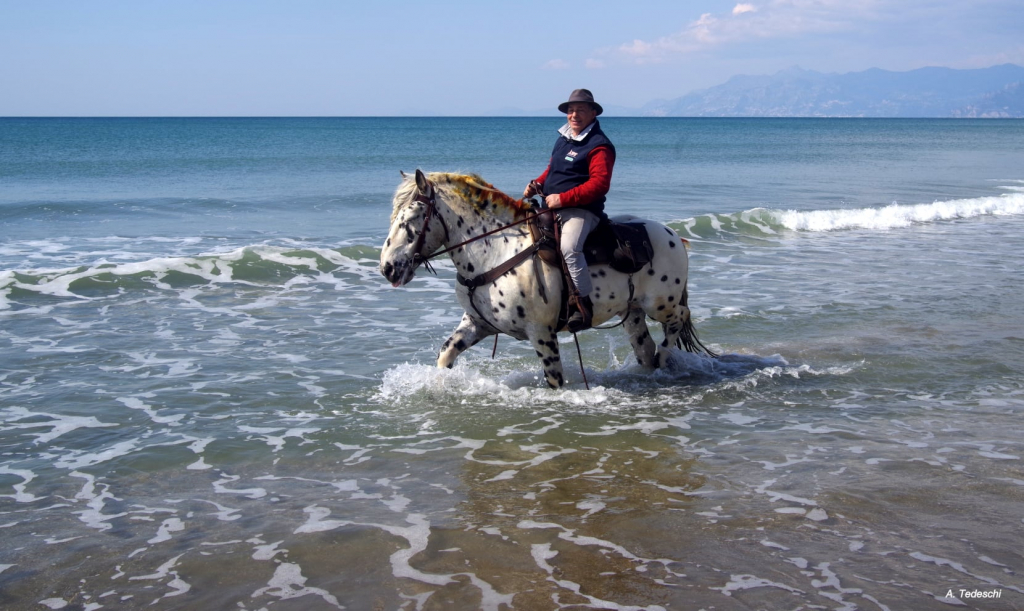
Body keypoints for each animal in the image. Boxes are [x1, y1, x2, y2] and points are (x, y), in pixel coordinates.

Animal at [380, 169, 713, 389]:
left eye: (410, 220)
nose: (387, 268)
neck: (497, 250)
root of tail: (673, 235)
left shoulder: (541, 331)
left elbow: (554, 378)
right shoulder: (477, 324)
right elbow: (446, 354)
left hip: (660, 304)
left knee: (680, 318)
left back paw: (665, 356)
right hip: (633, 313)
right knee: (644, 348)